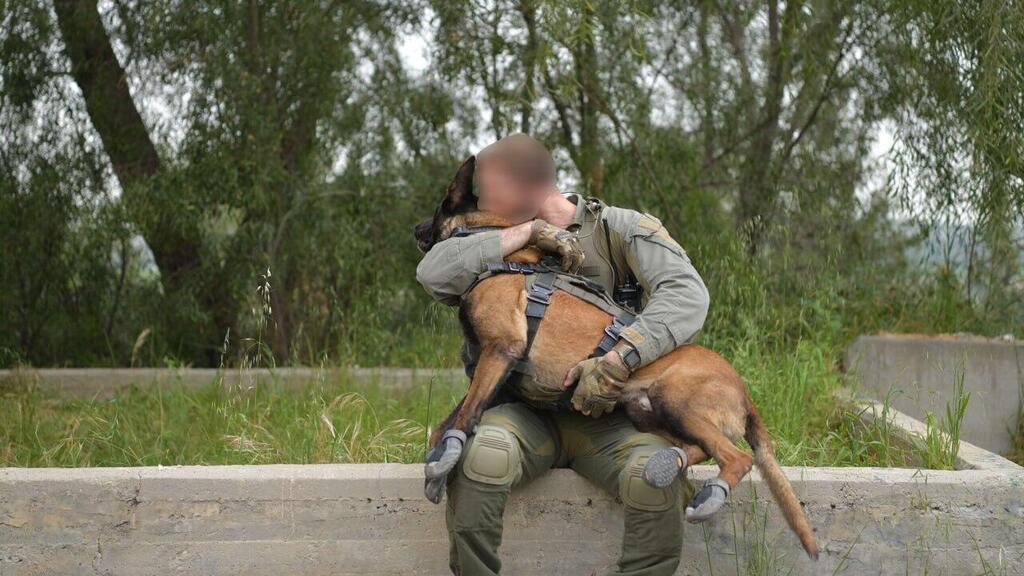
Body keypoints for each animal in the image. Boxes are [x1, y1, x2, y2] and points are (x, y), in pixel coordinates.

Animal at [411, 154, 819, 557]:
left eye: (436, 209)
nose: (414, 230)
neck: (495, 243)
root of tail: (745, 394)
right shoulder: (496, 370)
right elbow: (446, 423)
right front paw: (438, 467)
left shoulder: (501, 350)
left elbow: (464, 415)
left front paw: (447, 455)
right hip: (646, 411)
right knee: (698, 449)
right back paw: (668, 463)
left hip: (676, 399)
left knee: (737, 457)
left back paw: (709, 495)